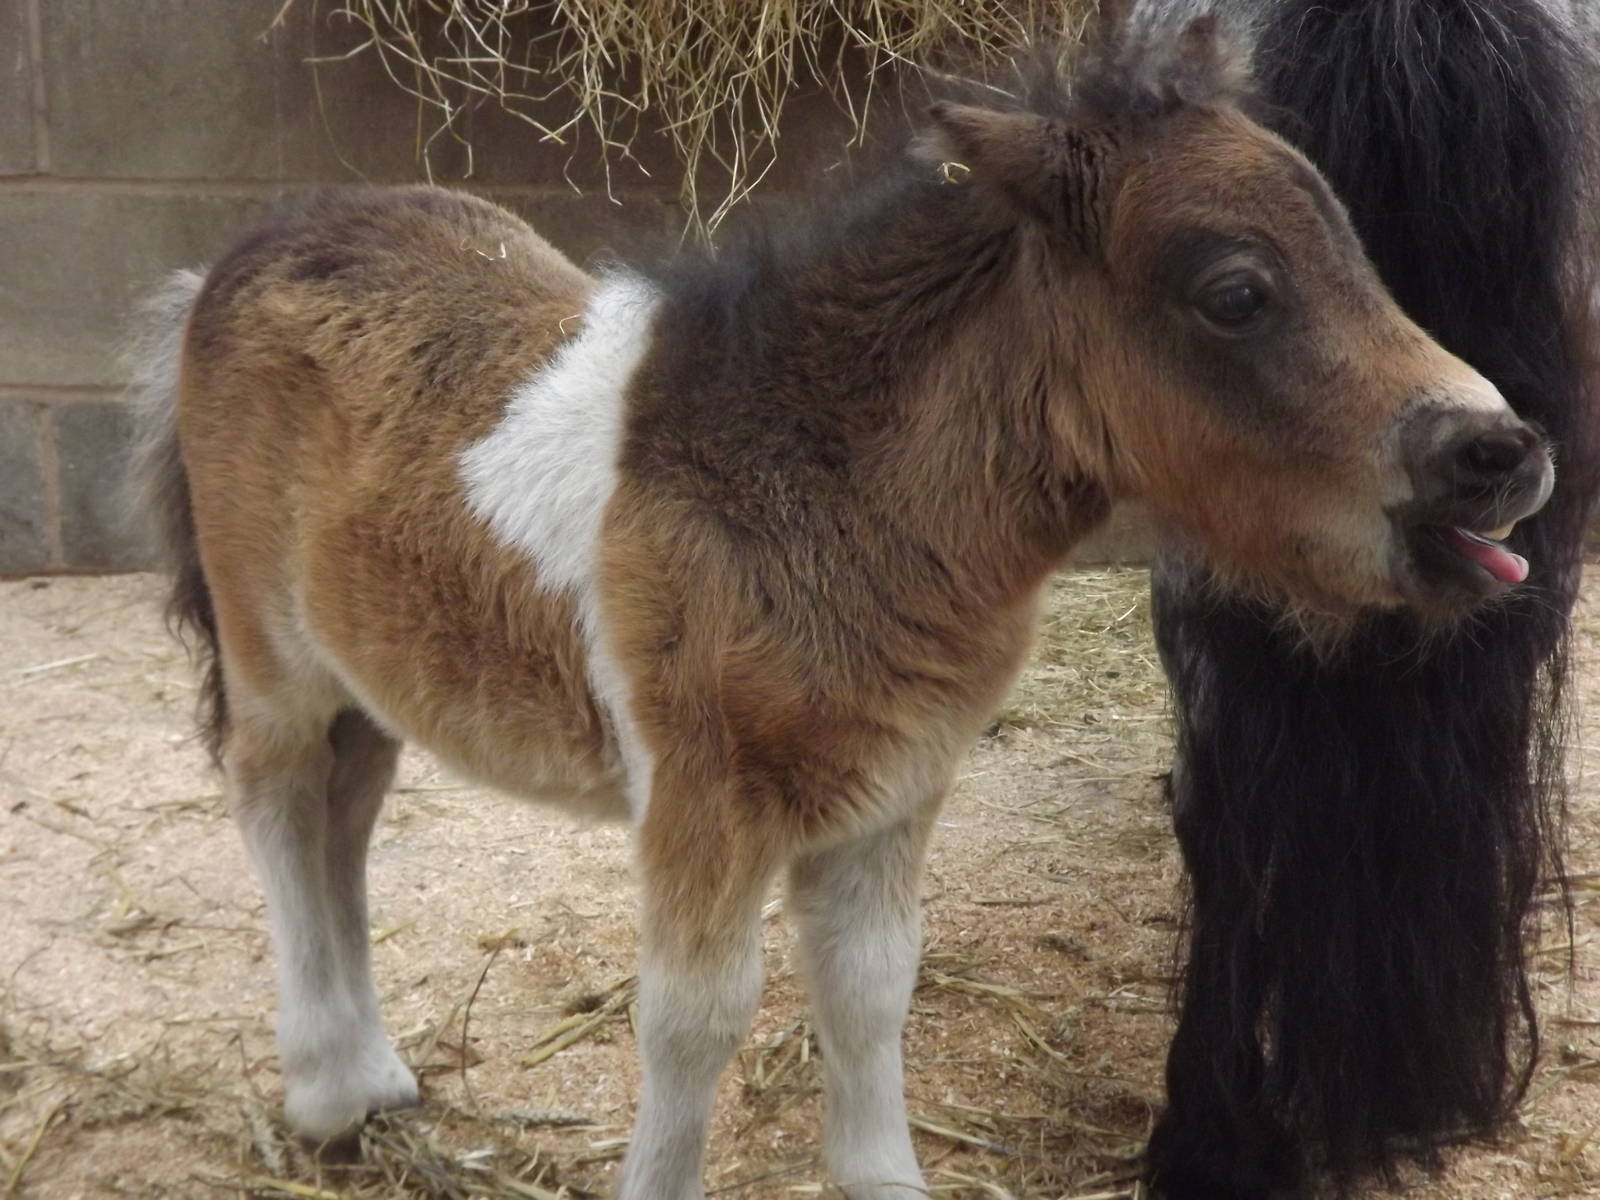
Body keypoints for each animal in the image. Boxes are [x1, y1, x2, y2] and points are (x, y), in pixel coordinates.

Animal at [127, 11, 1558, 1199]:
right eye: (1235, 293)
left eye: (1357, 250)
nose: (1499, 454)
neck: (815, 485)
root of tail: (238, 255)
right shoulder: (701, 803)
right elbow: (692, 1024)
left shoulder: (890, 788)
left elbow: (872, 992)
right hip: (275, 660)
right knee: (277, 809)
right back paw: (324, 1098)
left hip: (370, 673)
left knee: (346, 818)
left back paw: (369, 1076)